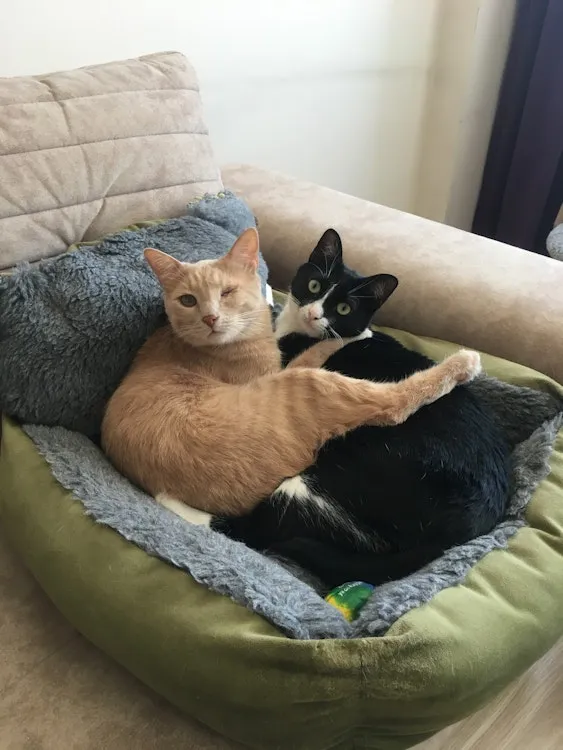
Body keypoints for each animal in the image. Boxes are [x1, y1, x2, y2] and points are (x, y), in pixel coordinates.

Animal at [100, 231, 480, 516]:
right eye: (188, 300)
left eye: (227, 292)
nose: (210, 318)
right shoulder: (285, 369)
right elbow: (318, 349)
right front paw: (351, 335)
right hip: (313, 385)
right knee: (395, 404)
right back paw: (463, 363)